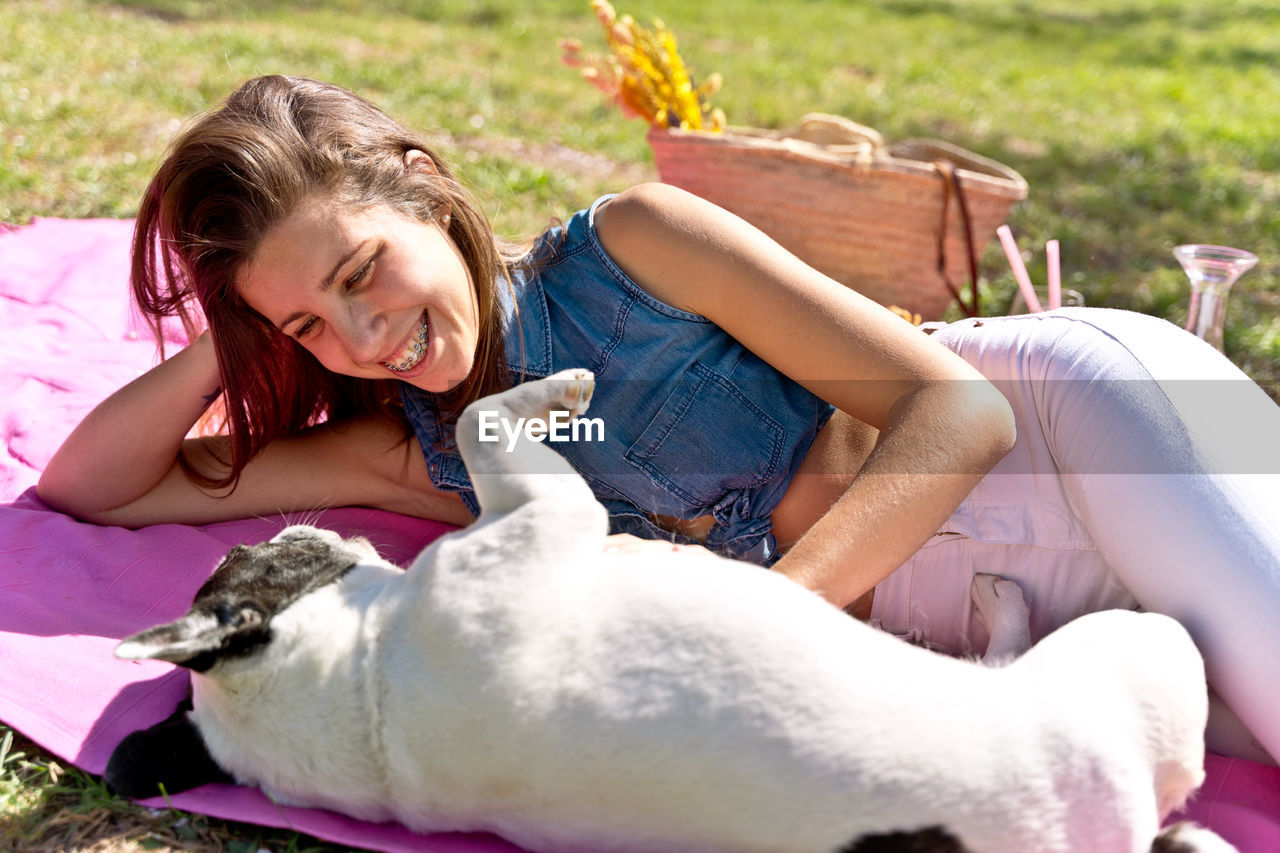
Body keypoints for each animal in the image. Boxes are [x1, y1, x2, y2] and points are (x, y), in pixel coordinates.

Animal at [112, 371, 1239, 850]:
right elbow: (481, 422)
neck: (362, 695)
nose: (250, 533)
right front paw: (562, 385)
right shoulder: (545, 519)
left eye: (239, 557)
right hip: (1134, 654)